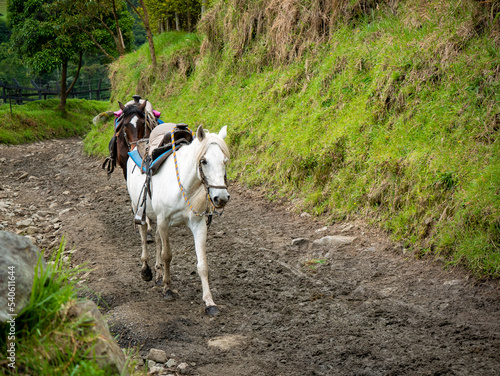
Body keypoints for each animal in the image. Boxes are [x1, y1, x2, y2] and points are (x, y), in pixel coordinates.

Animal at [128, 125, 231, 316]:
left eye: (225, 161)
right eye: (203, 161)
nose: (221, 198)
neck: (184, 185)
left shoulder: (198, 224)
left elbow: (202, 264)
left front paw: (210, 303)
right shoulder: (163, 221)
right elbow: (167, 255)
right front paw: (168, 289)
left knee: (157, 241)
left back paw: (158, 275)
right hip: (138, 206)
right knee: (144, 234)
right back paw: (146, 270)